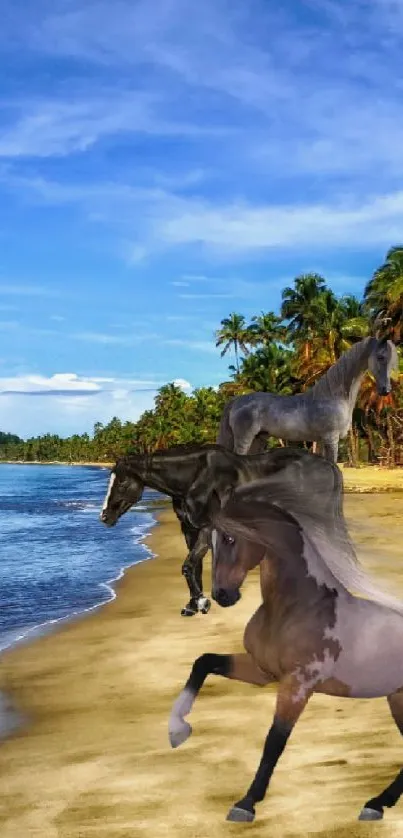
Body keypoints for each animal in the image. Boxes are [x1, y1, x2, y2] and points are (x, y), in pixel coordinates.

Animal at [169, 466, 403, 828]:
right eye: (210, 541)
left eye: (231, 538)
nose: (222, 596)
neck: (296, 609)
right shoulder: (262, 671)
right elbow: (203, 662)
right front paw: (178, 732)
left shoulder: (297, 686)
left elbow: (274, 740)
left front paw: (246, 804)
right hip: (397, 699)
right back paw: (376, 804)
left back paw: (376, 804)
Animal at [218, 336, 398, 466]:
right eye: (380, 357)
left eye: (394, 361)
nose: (386, 390)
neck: (333, 396)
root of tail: (237, 401)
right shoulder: (331, 439)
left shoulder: (321, 441)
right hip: (244, 438)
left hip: (258, 439)